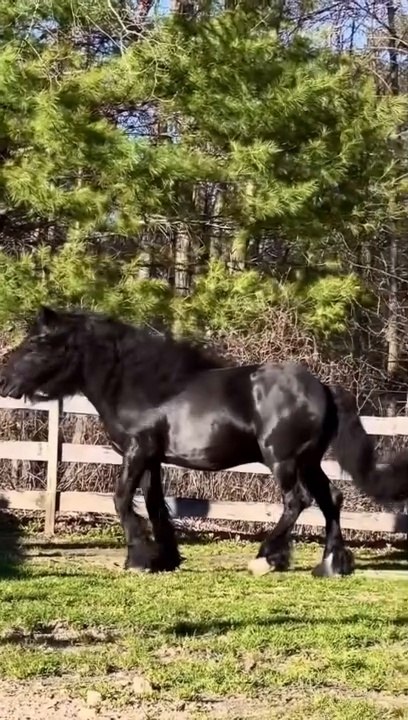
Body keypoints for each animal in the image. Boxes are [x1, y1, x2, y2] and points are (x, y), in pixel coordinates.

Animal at [0, 306, 407, 578]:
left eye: (37, 344)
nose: (5, 381)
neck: (145, 386)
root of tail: (321, 387)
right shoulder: (153, 457)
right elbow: (155, 504)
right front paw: (164, 558)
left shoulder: (137, 450)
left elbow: (121, 500)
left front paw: (138, 559)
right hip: (309, 461)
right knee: (330, 499)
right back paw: (331, 564)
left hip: (283, 459)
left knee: (298, 501)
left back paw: (266, 558)